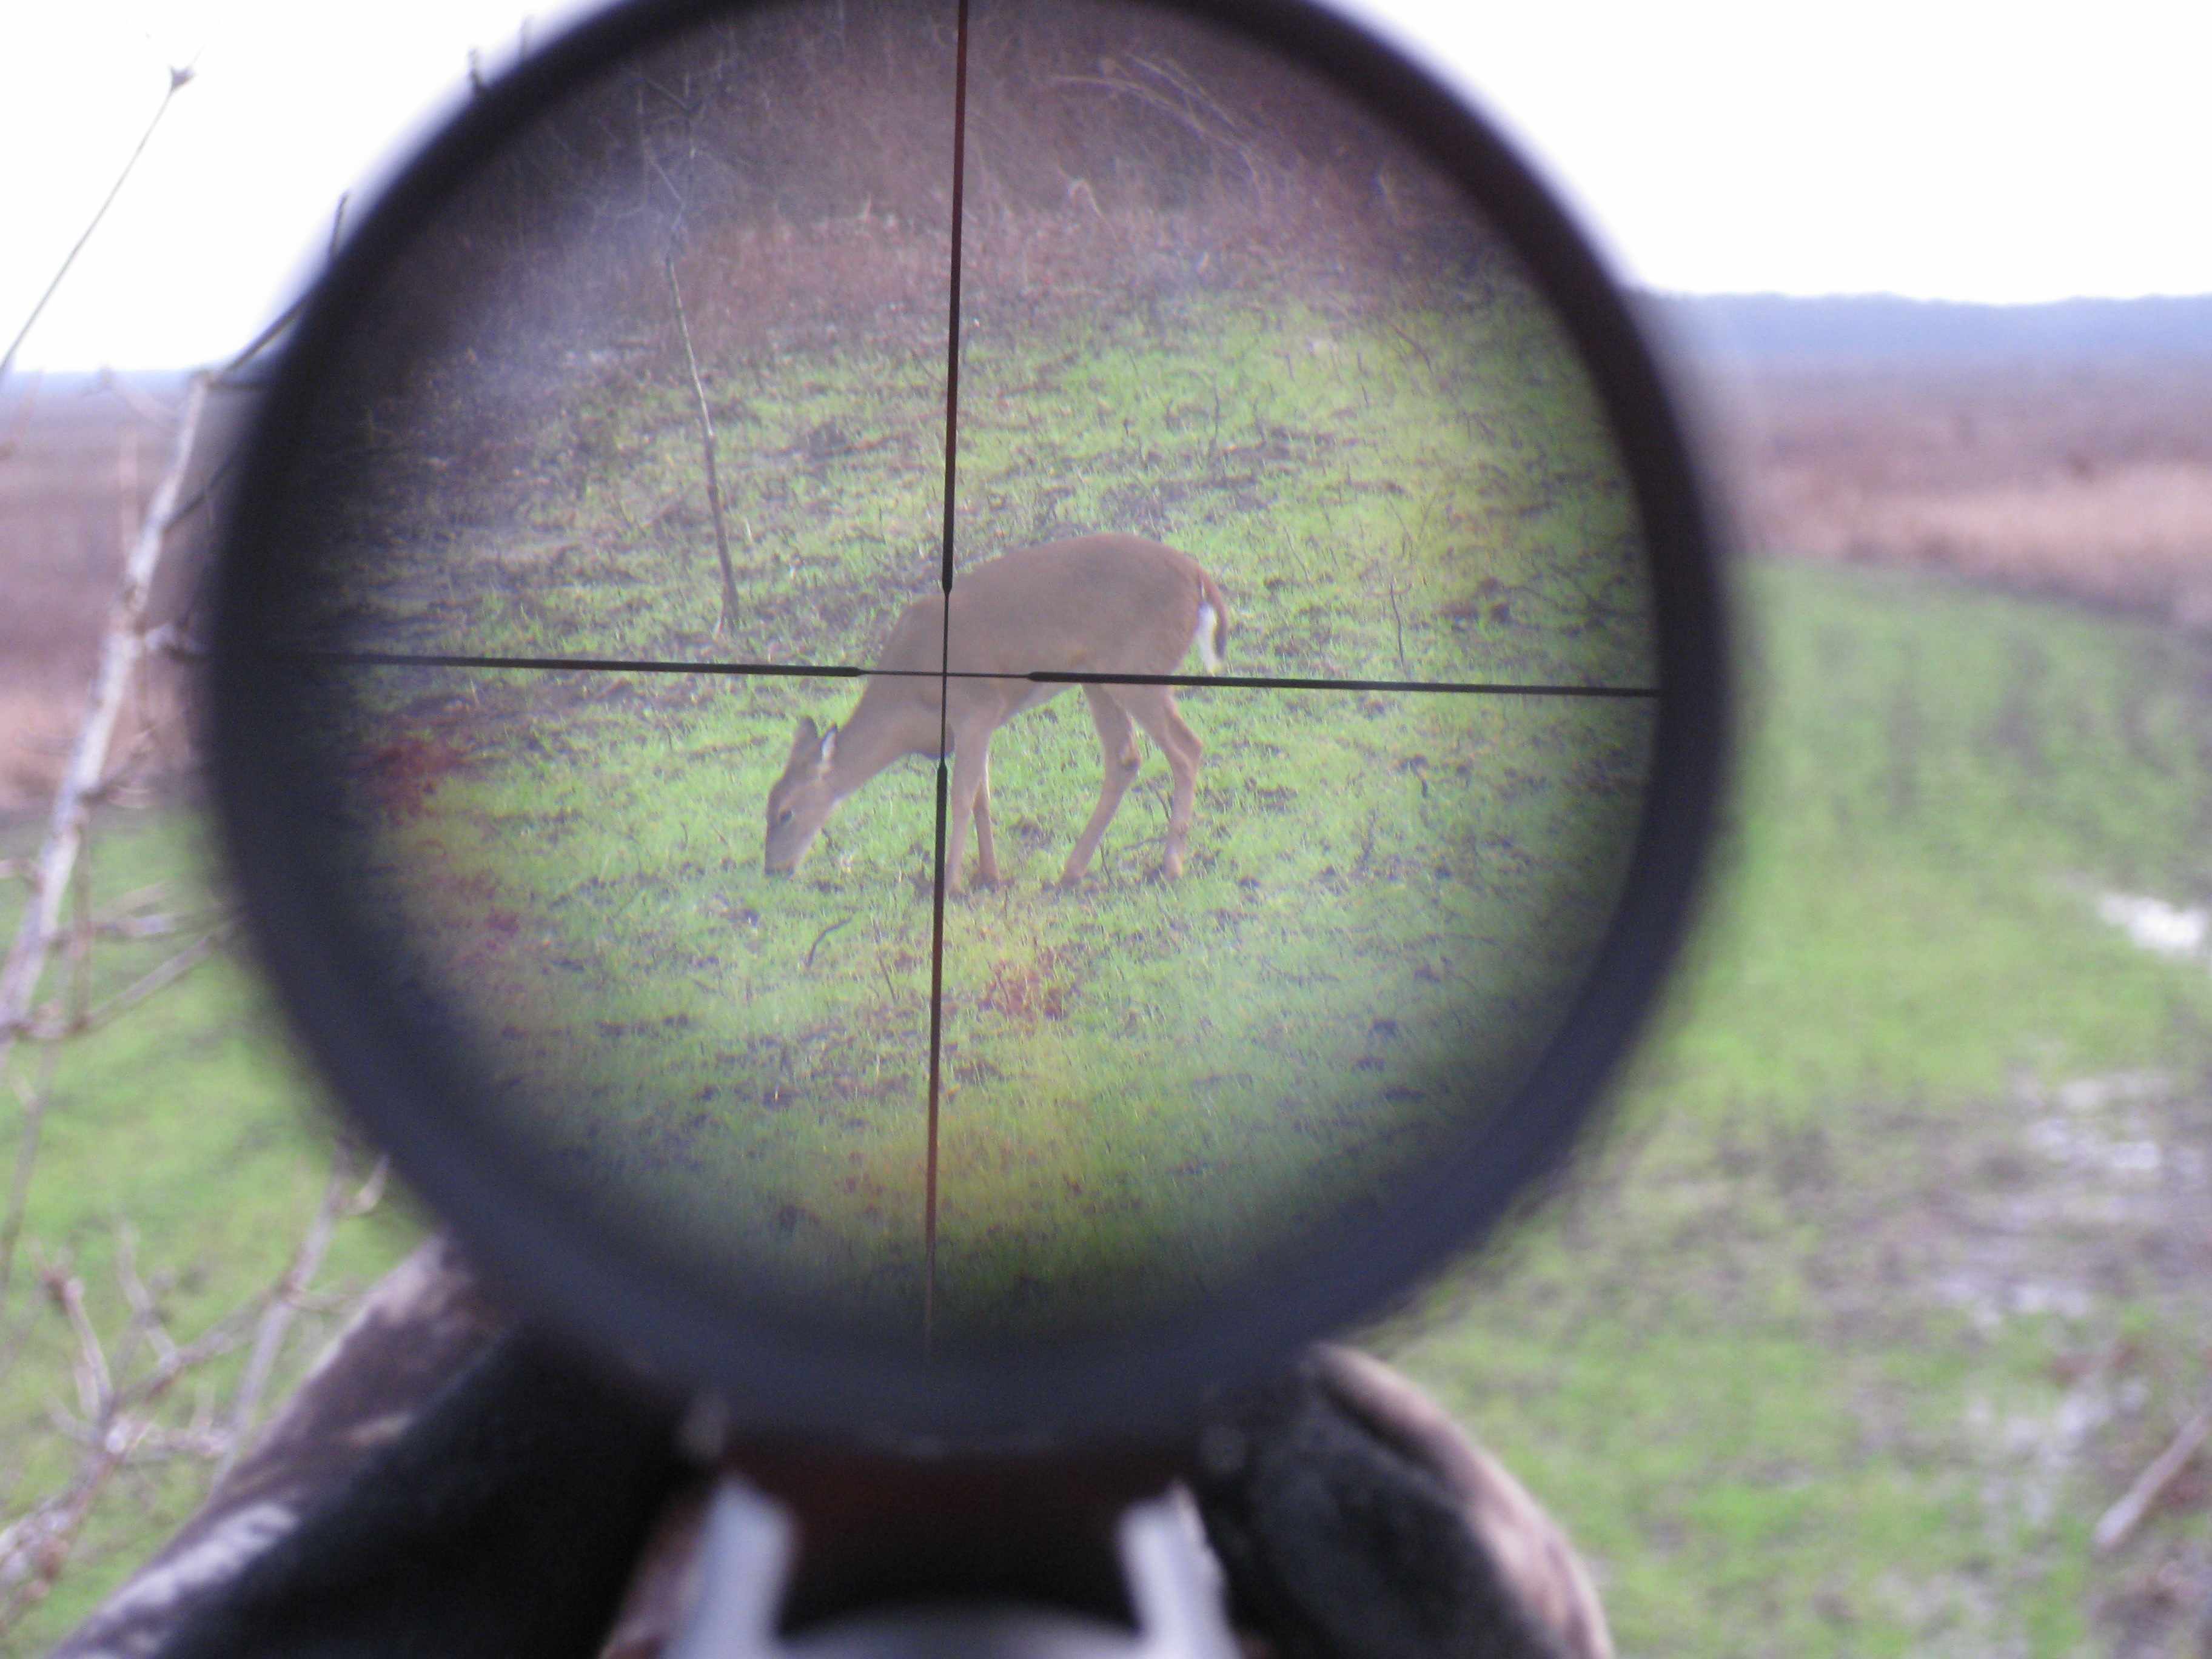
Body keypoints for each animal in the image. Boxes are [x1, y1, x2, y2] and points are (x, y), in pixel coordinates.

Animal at [763, 533, 1229, 894]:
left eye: (786, 812)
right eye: (767, 806)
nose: (773, 869)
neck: (910, 702)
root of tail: (1200, 579)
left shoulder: (976, 707)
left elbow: (961, 796)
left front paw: (949, 883)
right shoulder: (980, 722)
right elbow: (982, 795)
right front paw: (988, 876)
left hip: (1137, 667)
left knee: (1186, 748)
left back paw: (1169, 866)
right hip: (1096, 679)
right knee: (1125, 758)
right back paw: (1072, 872)